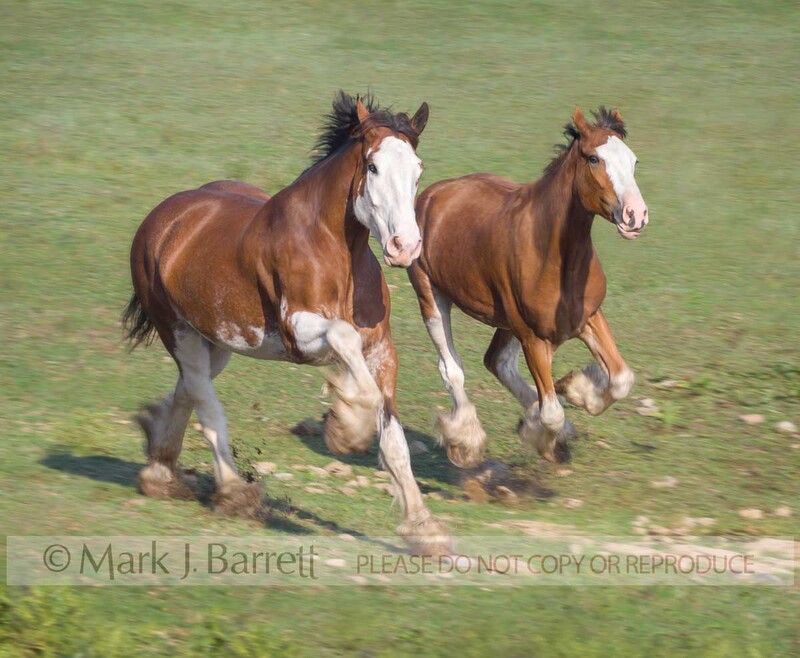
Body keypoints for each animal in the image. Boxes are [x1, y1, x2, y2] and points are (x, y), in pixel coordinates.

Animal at [122, 92, 451, 552]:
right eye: (372, 166)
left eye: (418, 170)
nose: (405, 246)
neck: (335, 250)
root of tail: (162, 218)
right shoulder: (299, 334)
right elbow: (346, 346)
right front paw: (347, 426)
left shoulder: (381, 349)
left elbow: (395, 443)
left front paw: (424, 529)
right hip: (180, 332)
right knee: (205, 402)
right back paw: (233, 492)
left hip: (217, 342)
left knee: (187, 390)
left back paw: (160, 470)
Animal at [408, 107, 649, 467]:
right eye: (594, 159)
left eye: (633, 161)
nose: (636, 215)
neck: (557, 258)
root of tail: (432, 194)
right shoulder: (534, 337)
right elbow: (552, 413)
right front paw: (546, 439)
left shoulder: (589, 317)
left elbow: (621, 380)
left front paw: (575, 388)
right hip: (433, 298)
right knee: (453, 369)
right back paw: (466, 441)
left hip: (507, 321)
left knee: (497, 361)